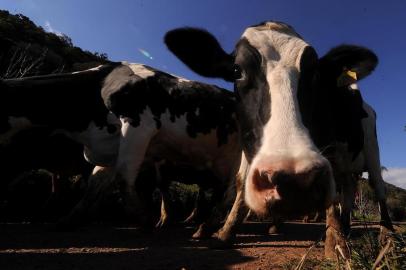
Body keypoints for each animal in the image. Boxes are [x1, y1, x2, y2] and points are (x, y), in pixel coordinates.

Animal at [164, 20, 394, 258]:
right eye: (237, 70)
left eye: (315, 74)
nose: (292, 181)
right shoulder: (248, 144)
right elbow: (240, 182)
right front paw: (223, 231)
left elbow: (333, 197)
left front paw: (336, 244)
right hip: (347, 165)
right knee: (348, 190)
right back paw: (346, 227)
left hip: (372, 149)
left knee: (378, 188)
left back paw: (386, 237)